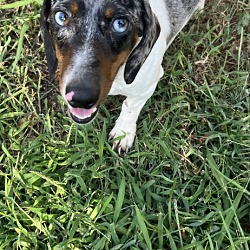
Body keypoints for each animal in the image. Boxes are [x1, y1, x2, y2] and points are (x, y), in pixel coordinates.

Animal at [41, 0, 205, 152]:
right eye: (61, 17)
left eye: (120, 24)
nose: (80, 98)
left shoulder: (146, 87)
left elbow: (130, 107)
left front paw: (123, 133)